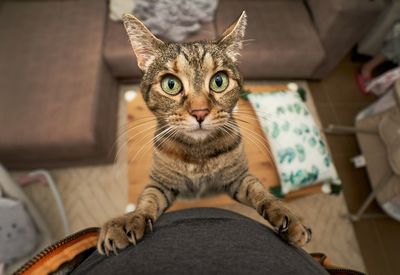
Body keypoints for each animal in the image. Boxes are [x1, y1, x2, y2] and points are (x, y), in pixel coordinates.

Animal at [97, 11, 312, 256]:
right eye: (171, 84)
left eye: (219, 81)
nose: (199, 112)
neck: (198, 153)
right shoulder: (161, 182)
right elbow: (148, 200)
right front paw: (130, 219)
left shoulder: (238, 177)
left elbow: (260, 191)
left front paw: (287, 215)